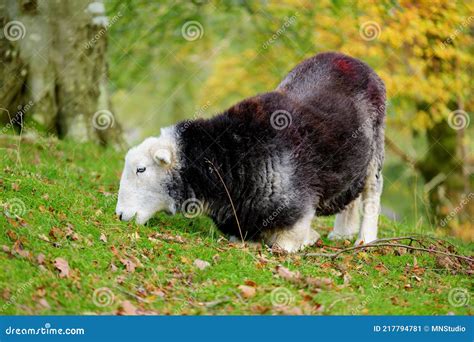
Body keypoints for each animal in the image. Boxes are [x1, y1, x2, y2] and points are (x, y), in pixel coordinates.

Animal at [115, 52, 386, 252]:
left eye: (141, 169)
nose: (119, 215)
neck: (228, 158)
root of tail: (350, 58)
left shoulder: (295, 212)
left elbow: (285, 243)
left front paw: (310, 238)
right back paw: (341, 233)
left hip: (376, 148)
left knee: (372, 192)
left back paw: (364, 239)